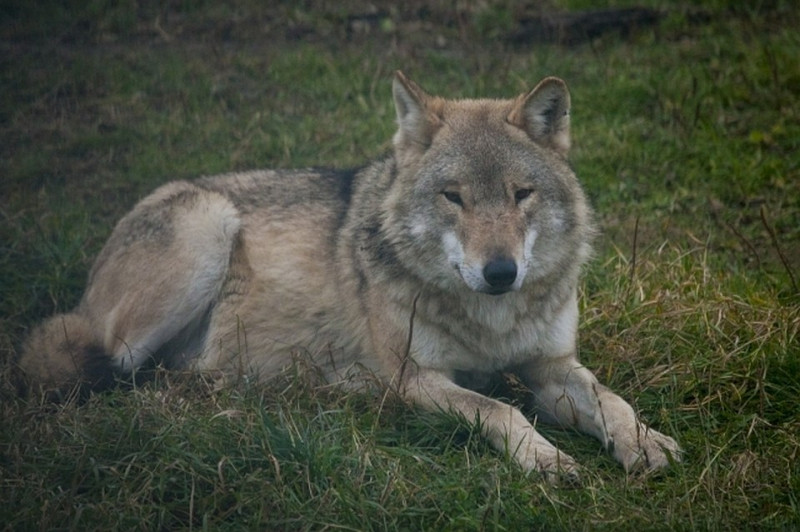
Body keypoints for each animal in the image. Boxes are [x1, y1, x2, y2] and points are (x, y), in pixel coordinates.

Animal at [18, 71, 680, 482]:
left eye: (522, 195)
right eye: (454, 197)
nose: (500, 272)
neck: (491, 323)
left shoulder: (552, 366)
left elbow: (610, 399)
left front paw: (645, 441)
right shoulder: (414, 378)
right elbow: (498, 409)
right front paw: (545, 459)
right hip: (204, 232)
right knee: (118, 373)